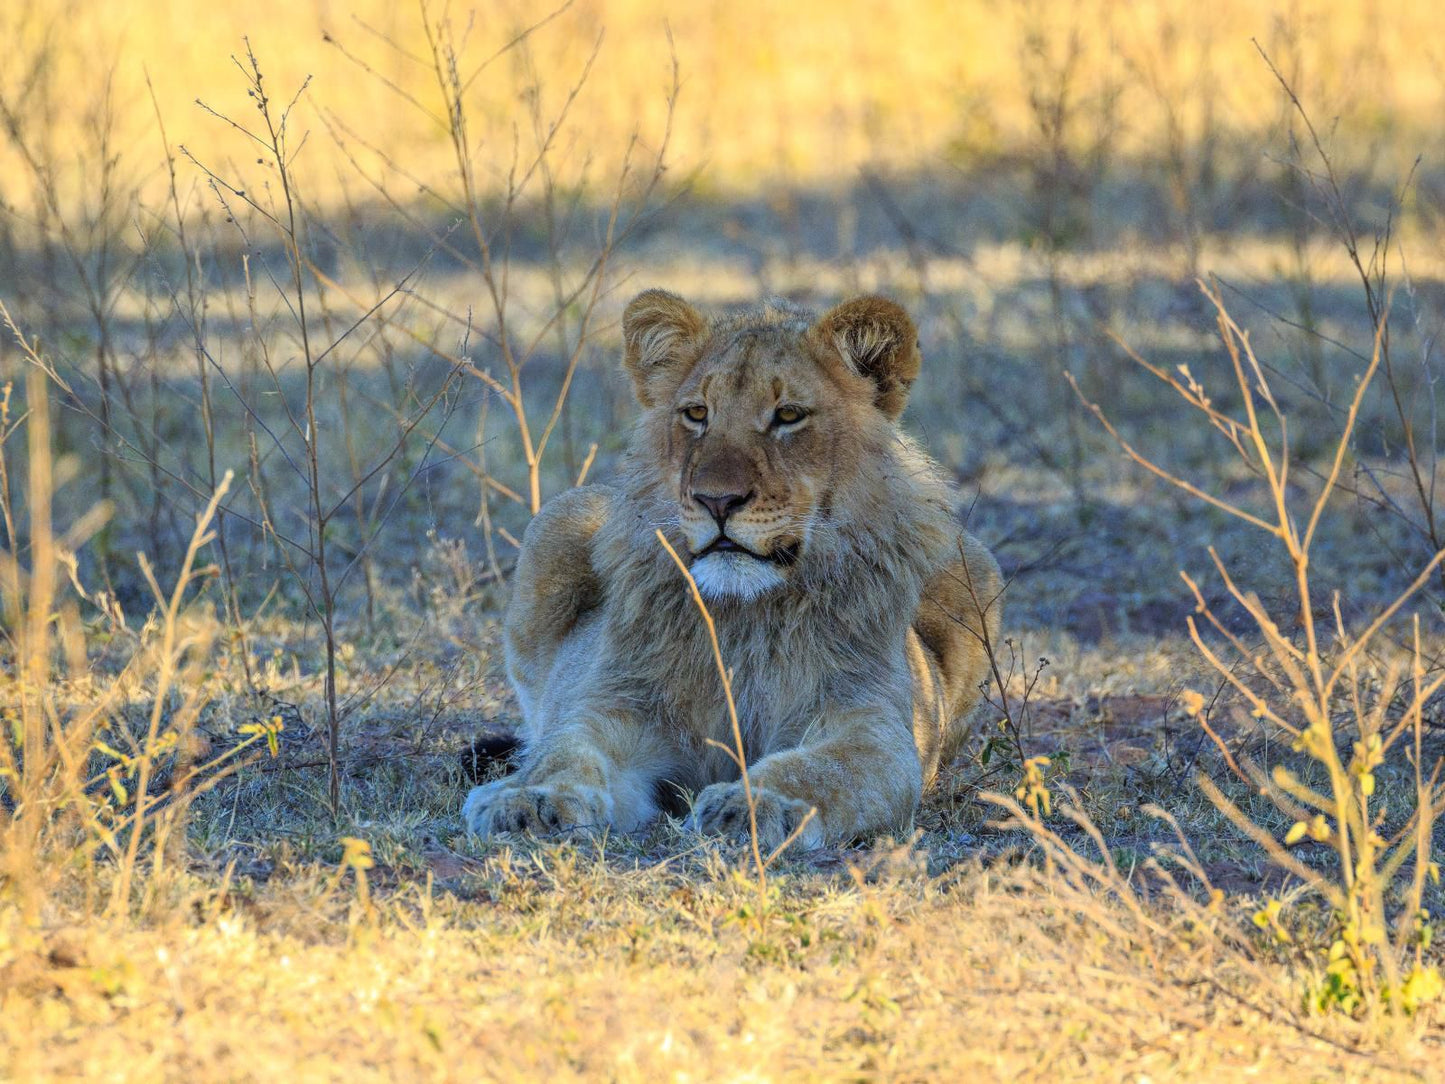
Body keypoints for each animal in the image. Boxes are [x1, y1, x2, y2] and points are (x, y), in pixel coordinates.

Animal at [465, 293, 1005, 855]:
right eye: (697, 413)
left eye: (788, 415)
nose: (716, 500)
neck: (746, 615)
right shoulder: (617, 708)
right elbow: (564, 751)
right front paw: (528, 799)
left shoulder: (872, 729)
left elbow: (818, 770)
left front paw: (754, 803)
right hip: (561, 517)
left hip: (973, 565)